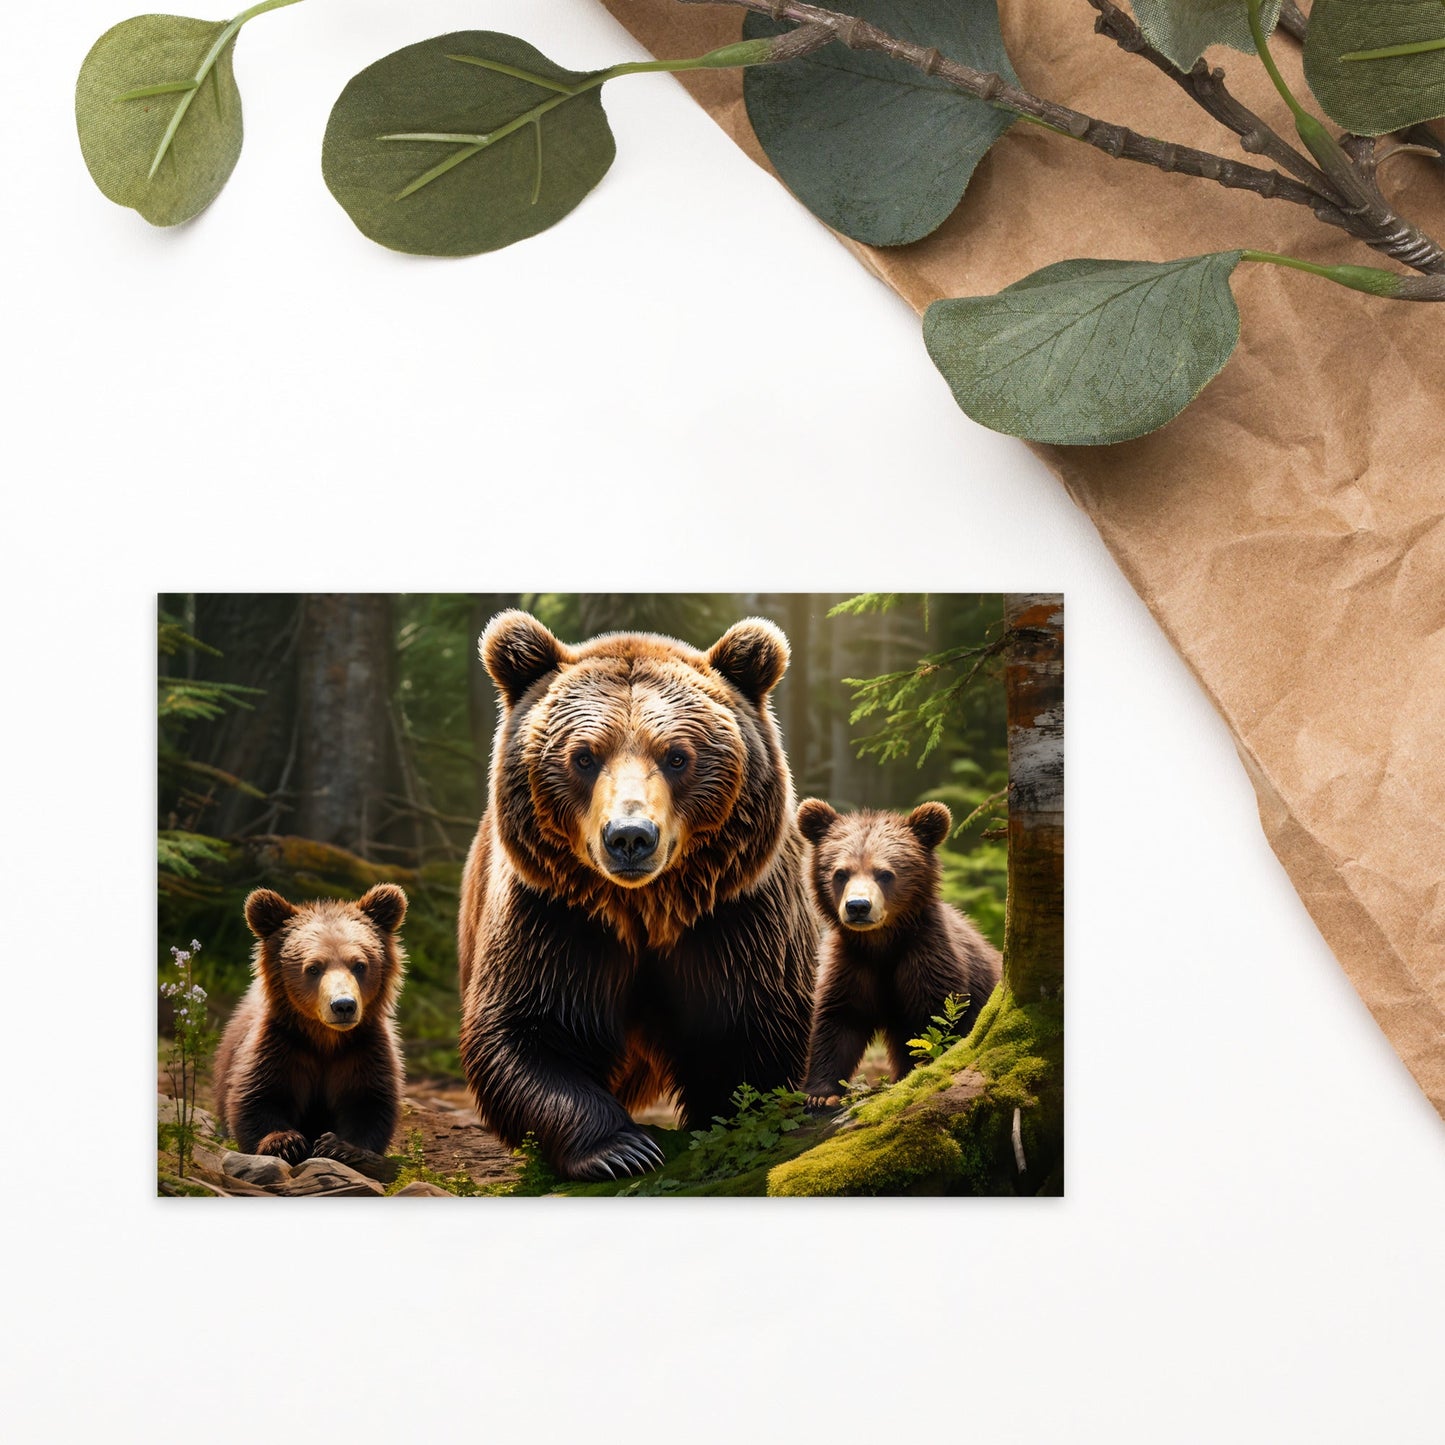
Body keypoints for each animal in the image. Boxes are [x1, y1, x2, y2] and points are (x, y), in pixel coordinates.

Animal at [213, 884, 408, 1164]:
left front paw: (339, 1146)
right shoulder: (281, 1044)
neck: (324, 1038)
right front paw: (285, 1142)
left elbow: (370, 1102)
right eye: (313, 968)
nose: (343, 1005)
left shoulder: (363, 1048)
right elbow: (258, 1096)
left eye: (360, 965)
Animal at [457, 609, 819, 1182]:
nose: (630, 836)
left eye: (677, 756)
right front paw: (621, 1148)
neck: (646, 907)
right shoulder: (555, 915)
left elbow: (752, 1029)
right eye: (584, 757)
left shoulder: (735, 915)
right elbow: (525, 1030)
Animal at [795, 799, 1001, 1107]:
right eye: (840, 873)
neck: (881, 943)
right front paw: (821, 1094)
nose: (858, 906)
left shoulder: (927, 958)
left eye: (885, 873)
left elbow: (934, 1026)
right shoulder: (852, 963)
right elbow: (839, 1021)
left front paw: (917, 1071)